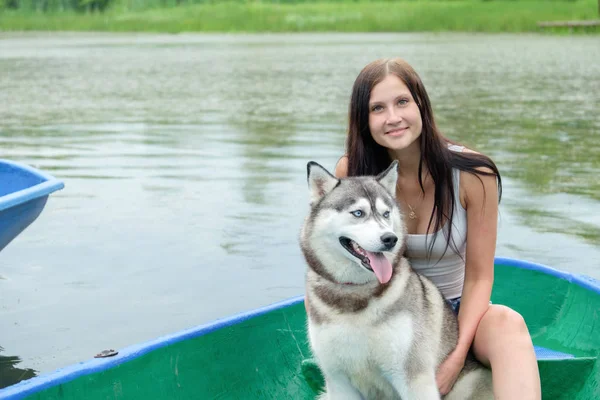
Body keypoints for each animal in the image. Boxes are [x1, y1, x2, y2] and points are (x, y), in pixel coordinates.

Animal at [300, 161, 492, 398]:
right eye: (358, 213)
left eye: (385, 214)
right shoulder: (338, 380)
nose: (390, 239)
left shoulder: (414, 377)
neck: (356, 295)